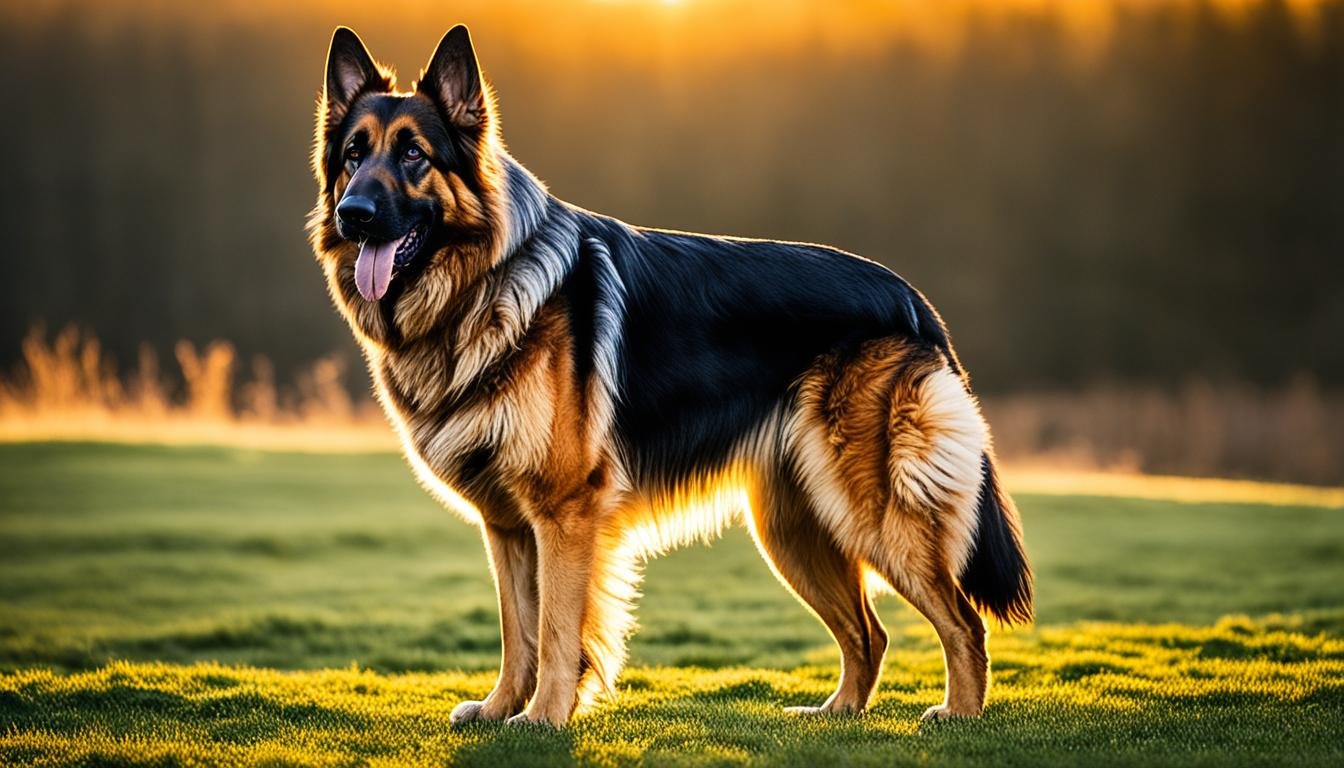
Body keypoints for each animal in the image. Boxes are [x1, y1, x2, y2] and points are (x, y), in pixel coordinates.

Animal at [309, 25, 1032, 726]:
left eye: (414, 156)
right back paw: (836, 713)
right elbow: (519, 631)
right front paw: (498, 709)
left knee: (964, 623)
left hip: (870, 512)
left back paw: (958, 716)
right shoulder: (508, 526)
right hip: (794, 527)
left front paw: (542, 719)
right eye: (353, 156)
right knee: (869, 632)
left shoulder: (564, 514)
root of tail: (912, 300)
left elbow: (557, 629)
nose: (353, 214)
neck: (480, 283)